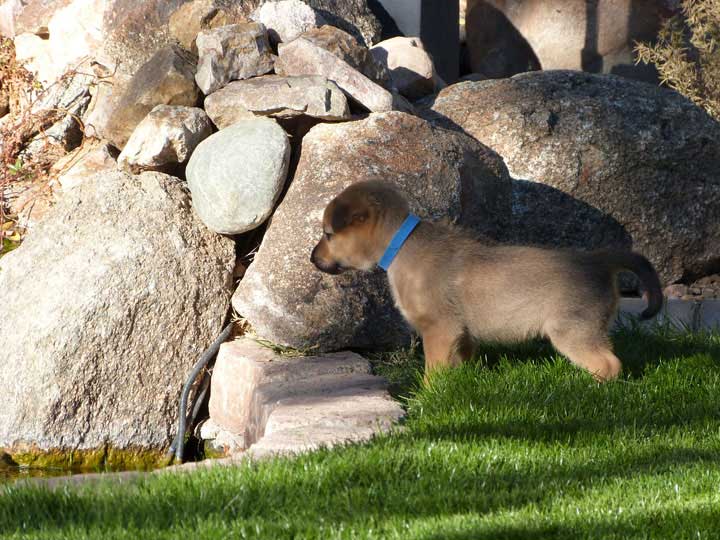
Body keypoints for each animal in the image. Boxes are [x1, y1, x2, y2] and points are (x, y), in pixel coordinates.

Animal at [310, 180, 664, 380]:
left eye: (328, 234)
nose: (313, 259)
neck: (401, 245)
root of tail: (599, 261)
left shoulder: (439, 329)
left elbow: (433, 371)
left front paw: (429, 395)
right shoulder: (460, 333)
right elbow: (459, 362)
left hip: (572, 332)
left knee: (609, 364)